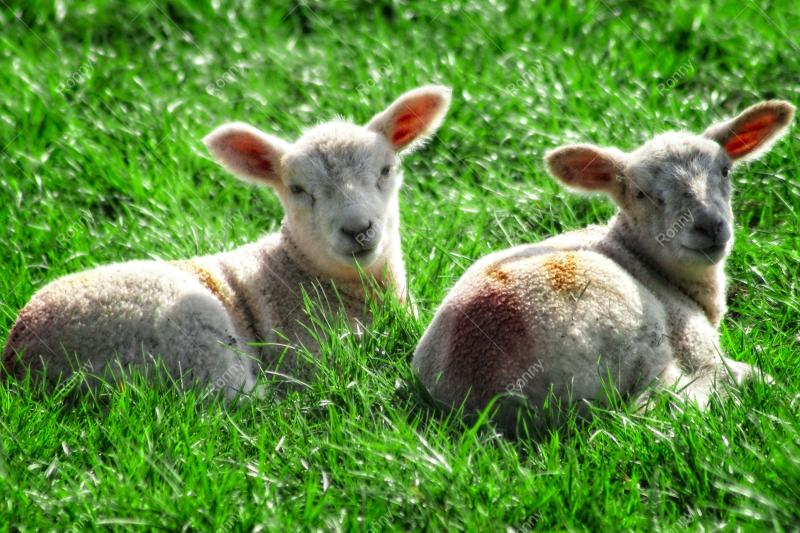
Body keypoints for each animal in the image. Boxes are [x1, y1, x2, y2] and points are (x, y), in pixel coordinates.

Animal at [3, 85, 452, 397]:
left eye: (386, 169)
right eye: (296, 189)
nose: (358, 229)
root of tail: (21, 356)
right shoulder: (306, 351)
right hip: (189, 332)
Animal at [412, 100, 794, 431]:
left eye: (725, 171)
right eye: (641, 194)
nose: (709, 225)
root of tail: (484, 393)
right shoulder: (691, 339)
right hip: (632, 329)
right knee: (660, 404)